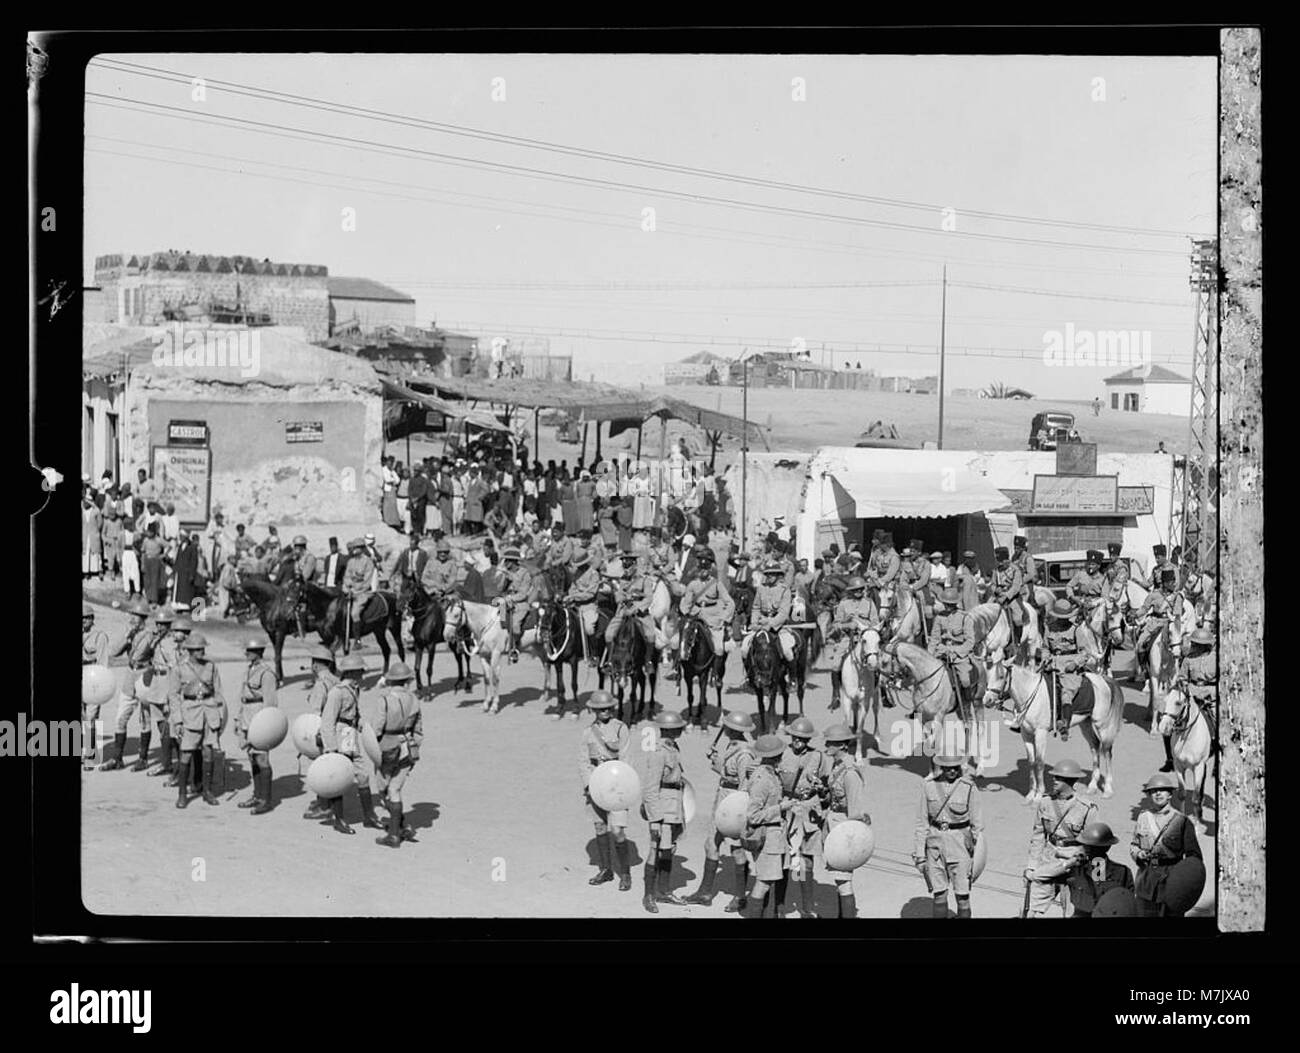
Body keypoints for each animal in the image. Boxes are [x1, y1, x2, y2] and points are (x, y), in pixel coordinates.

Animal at [1159, 686, 1216, 826]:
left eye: (1178, 703)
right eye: (1165, 700)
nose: (1163, 727)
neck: (1188, 737)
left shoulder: (1198, 767)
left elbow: (1195, 797)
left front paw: (1196, 824)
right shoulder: (1178, 766)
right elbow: (1182, 794)